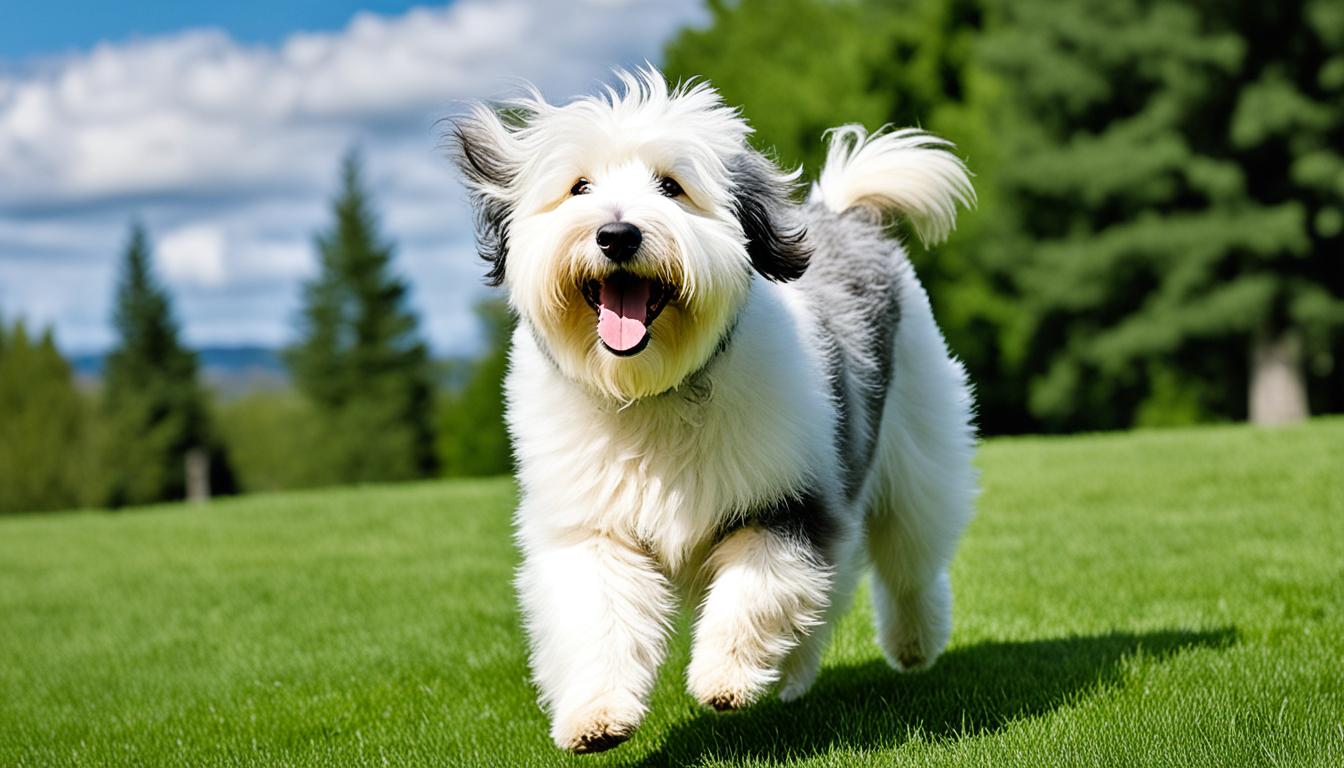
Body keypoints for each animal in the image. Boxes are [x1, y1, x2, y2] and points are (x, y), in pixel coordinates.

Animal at [451, 69, 978, 753]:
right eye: (579, 187)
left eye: (671, 186)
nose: (617, 235)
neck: (654, 392)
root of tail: (842, 213)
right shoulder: (592, 526)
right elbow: (600, 613)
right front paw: (597, 717)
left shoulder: (788, 500)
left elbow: (757, 588)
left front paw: (724, 676)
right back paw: (794, 673)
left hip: (918, 441)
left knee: (911, 559)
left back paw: (912, 645)